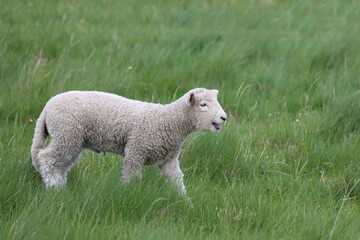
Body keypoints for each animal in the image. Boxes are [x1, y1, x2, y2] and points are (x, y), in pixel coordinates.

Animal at [31, 88, 228, 197]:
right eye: (203, 104)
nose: (224, 117)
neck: (168, 121)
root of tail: (47, 108)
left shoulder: (169, 159)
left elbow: (177, 181)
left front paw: (185, 203)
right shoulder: (136, 150)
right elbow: (132, 177)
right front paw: (126, 194)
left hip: (71, 140)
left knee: (60, 165)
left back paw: (60, 188)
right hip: (66, 133)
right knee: (47, 158)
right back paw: (53, 187)